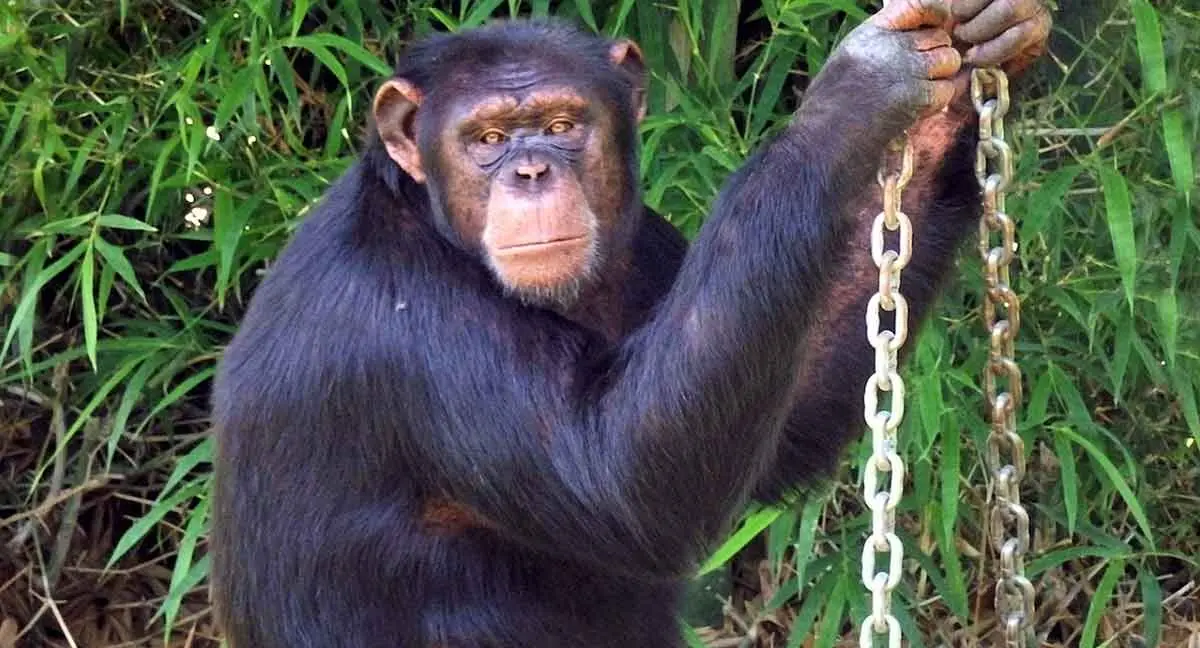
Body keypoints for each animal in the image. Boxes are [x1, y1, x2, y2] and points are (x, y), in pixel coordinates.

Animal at [208, 2, 1051, 643]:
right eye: (485, 139)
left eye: (562, 123)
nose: (531, 170)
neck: (429, 221)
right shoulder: (409, 328)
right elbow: (624, 476)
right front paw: (858, 94)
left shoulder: (651, 244)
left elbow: (770, 427)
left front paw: (978, 66)